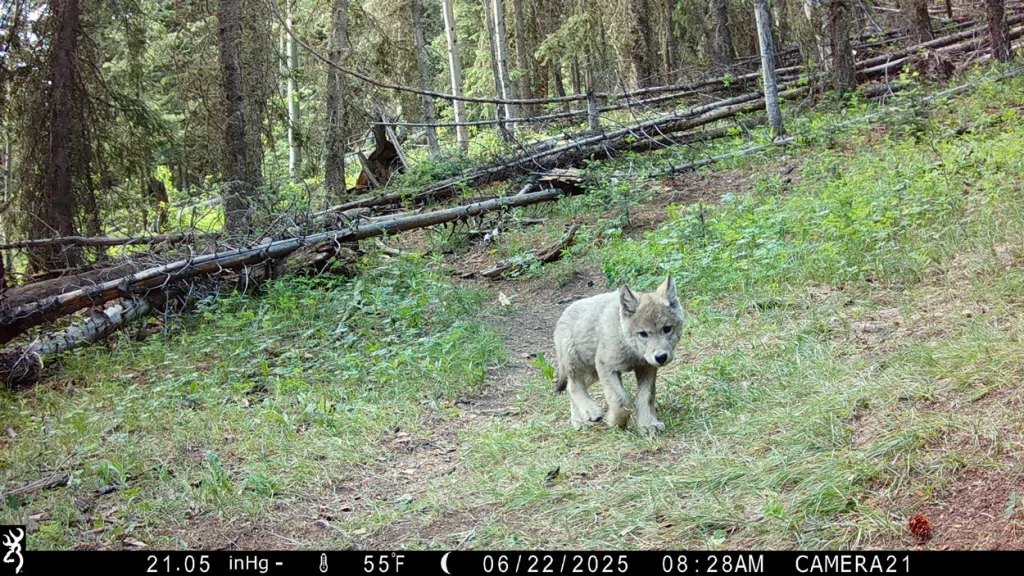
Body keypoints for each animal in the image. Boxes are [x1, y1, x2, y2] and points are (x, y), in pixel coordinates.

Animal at [553, 275, 684, 434]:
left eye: (667, 329)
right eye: (643, 334)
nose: (661, 357)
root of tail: (564, 314)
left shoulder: (646, 368)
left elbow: (647, 397)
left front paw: (648, 424)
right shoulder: (606, 366)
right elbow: (621, 399)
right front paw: (616, 421)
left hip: (593, 372)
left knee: (571, 388)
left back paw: (580, 419)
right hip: (577, 363)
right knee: (573, 385)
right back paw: (590, 413)